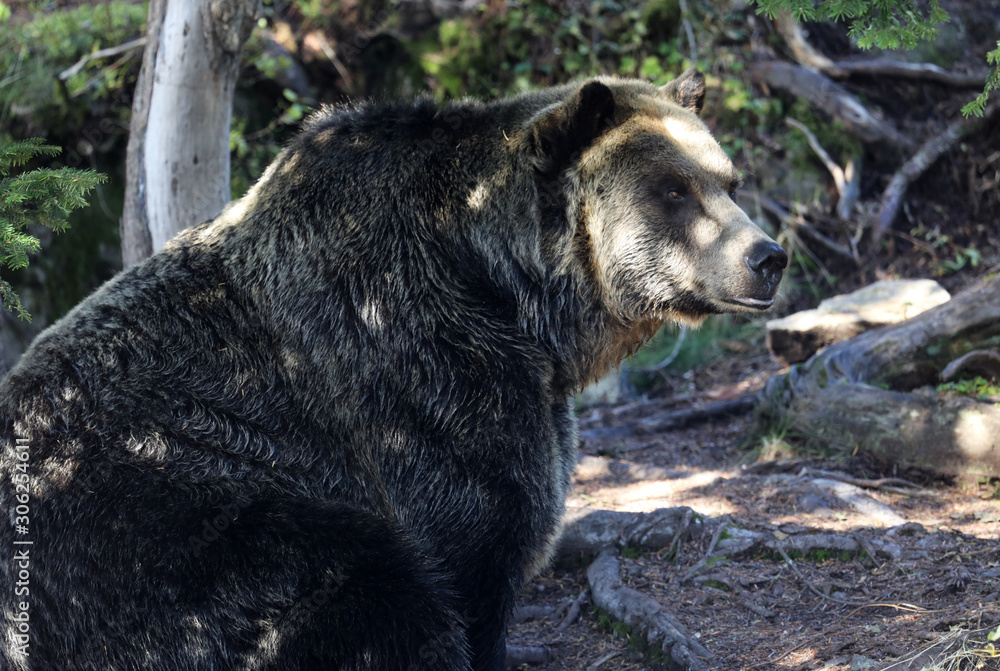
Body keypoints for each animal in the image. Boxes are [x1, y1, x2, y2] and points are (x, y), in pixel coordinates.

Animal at [0, 68, 785, 671]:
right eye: (672, 190)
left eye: (728, 180)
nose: (768, 256)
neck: (508, 293)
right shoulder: (421, 380)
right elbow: (475, 548)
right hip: (162, 537)